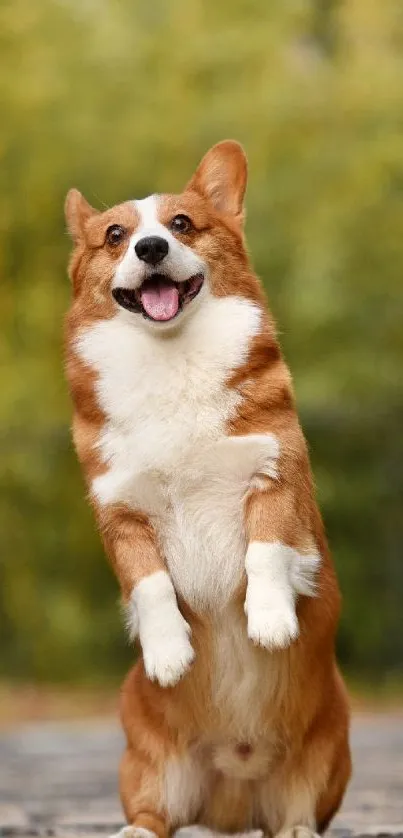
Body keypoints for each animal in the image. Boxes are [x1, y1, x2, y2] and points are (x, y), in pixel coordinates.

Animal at [64, 143, 352, 838]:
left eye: (183, 224)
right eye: (115, 236)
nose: (150, 248)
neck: (171, 359)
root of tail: (235, 793)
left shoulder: (275, 477)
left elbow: (265, 552)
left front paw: (270, 619)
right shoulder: (120, 516)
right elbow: (150, 583)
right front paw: (169, 652)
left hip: (332, 748)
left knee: (296, 810)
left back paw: (296, 828)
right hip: (144, 754)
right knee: (156, 812)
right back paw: (136, 829)